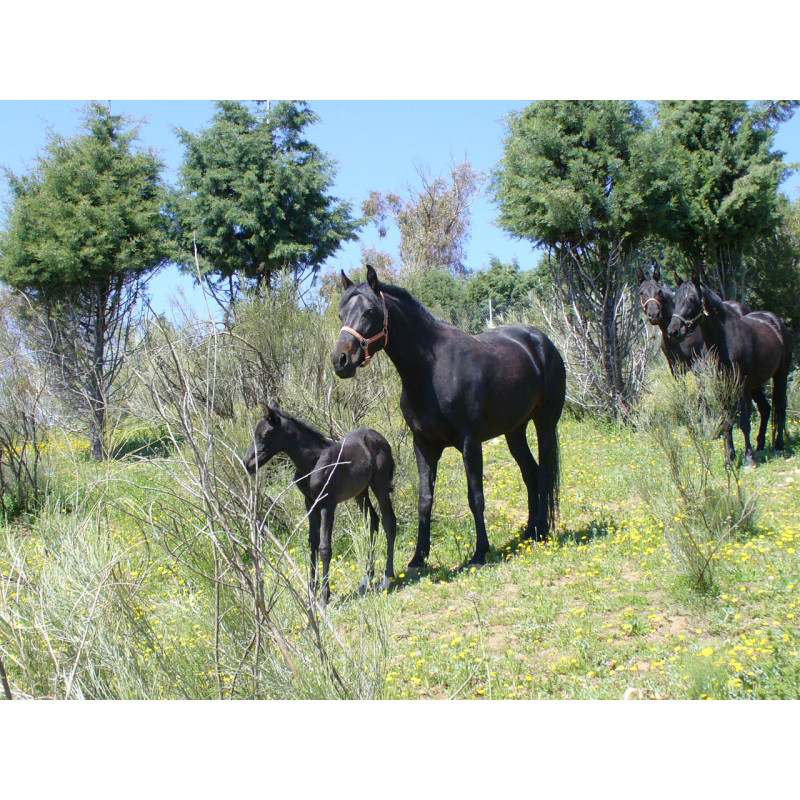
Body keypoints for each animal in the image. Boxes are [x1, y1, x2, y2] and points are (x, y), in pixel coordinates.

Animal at [242, 405, 397, 604]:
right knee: (373, 521)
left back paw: (387, 579)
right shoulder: (309, 503)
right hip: (360, 492)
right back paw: (367, 578)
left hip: (380, 485)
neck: (312, 462)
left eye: (263, 435)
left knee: (388, 521)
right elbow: (313, 542)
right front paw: (312, 590)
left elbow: (325, 547)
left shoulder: (327, 504)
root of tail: (381, 438)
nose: (247, 463)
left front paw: (324, 596)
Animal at [331, 265, 566, 570]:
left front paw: (480, 552)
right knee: (531, 473)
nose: (340, 360)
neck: (431, 371)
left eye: (370, 311)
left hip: (545, 422)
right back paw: (531, 531)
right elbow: (425, 500)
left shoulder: (470, 442)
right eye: (341, 314)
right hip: (514, 430)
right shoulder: (423, 445)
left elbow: (475, 496)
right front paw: (418, 557)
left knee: (545, 472)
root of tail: (540, 341)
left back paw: (543, 530)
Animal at [637, 265, 771, 432]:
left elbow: (702, 394)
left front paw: (704, 419)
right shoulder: (676, 368)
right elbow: (683, 392)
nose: (654, 315)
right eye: (641, 292)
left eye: (659, 291)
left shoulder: (699, 365)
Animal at [666, 274, 793, 466]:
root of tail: (775, 322)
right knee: (766, 409)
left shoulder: (740, 384)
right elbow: (727, 420)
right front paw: (729, 458)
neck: (725, 340)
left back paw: (779, 445)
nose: (673, 331)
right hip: (755, 384)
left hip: (780, 376)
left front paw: (749, 460)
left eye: (692, 299)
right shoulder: (722, 385)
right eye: (675, 299)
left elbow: (744, 421)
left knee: (780, 407)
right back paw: (761, 445)